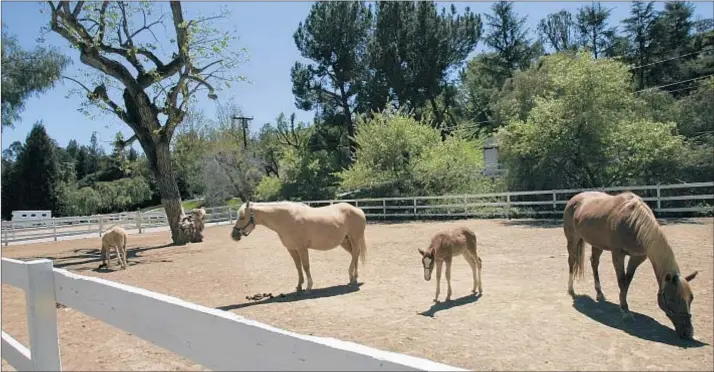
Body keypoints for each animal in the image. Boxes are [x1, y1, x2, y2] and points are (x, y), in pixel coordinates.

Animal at [231, 199, 368, 292]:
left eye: (242, 216)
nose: (233, 235)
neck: (286, 219)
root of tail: (358, 210)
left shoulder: (302, 248)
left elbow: (306, 266)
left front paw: (309, 286)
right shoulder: (292, 249)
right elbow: (298, 267)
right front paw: (298, 286)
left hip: (354, 239)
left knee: (355, 254)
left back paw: (353, 278)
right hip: (345, 241)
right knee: (355, 255)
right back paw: (353, 278)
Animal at [560, 190, 696, 338]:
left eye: (691, 298)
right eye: (672, 300)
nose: (688, 332)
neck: (634, 223)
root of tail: (575, 198)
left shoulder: (637, 258)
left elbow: (627, 281)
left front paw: (623, 305)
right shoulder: (618, 255)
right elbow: (621, 281)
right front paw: (625, 312)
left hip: (597, 244)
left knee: (594, 263)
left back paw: (599, 293)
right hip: (572, 239)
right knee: (572, 261)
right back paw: (571, 289)